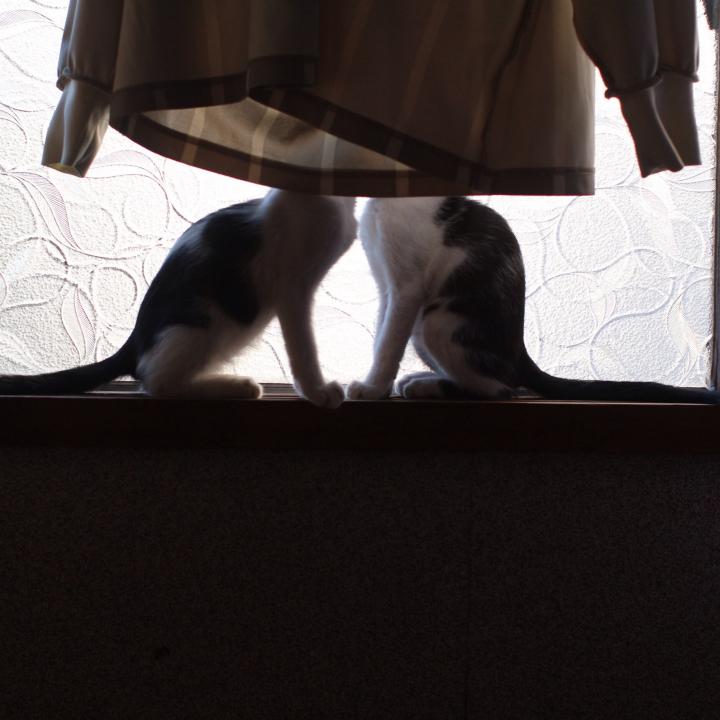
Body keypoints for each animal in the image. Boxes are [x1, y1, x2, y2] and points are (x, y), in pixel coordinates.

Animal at [0, 190, 356, 408]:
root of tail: (135, 340)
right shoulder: (293, 288)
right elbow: (303, 347)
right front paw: (317, 391)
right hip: (204, 323)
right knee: (156, 380)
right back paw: (237, 386)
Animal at [347, 196, 719, 403]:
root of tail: (519, 351)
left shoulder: (406, 288)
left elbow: (388, 344)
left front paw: (372, 389)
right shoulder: (387, 289)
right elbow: (382, 335)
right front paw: (376, 383)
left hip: (437, 322)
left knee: (501, 388)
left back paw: (429, 387)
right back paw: (423, 382)